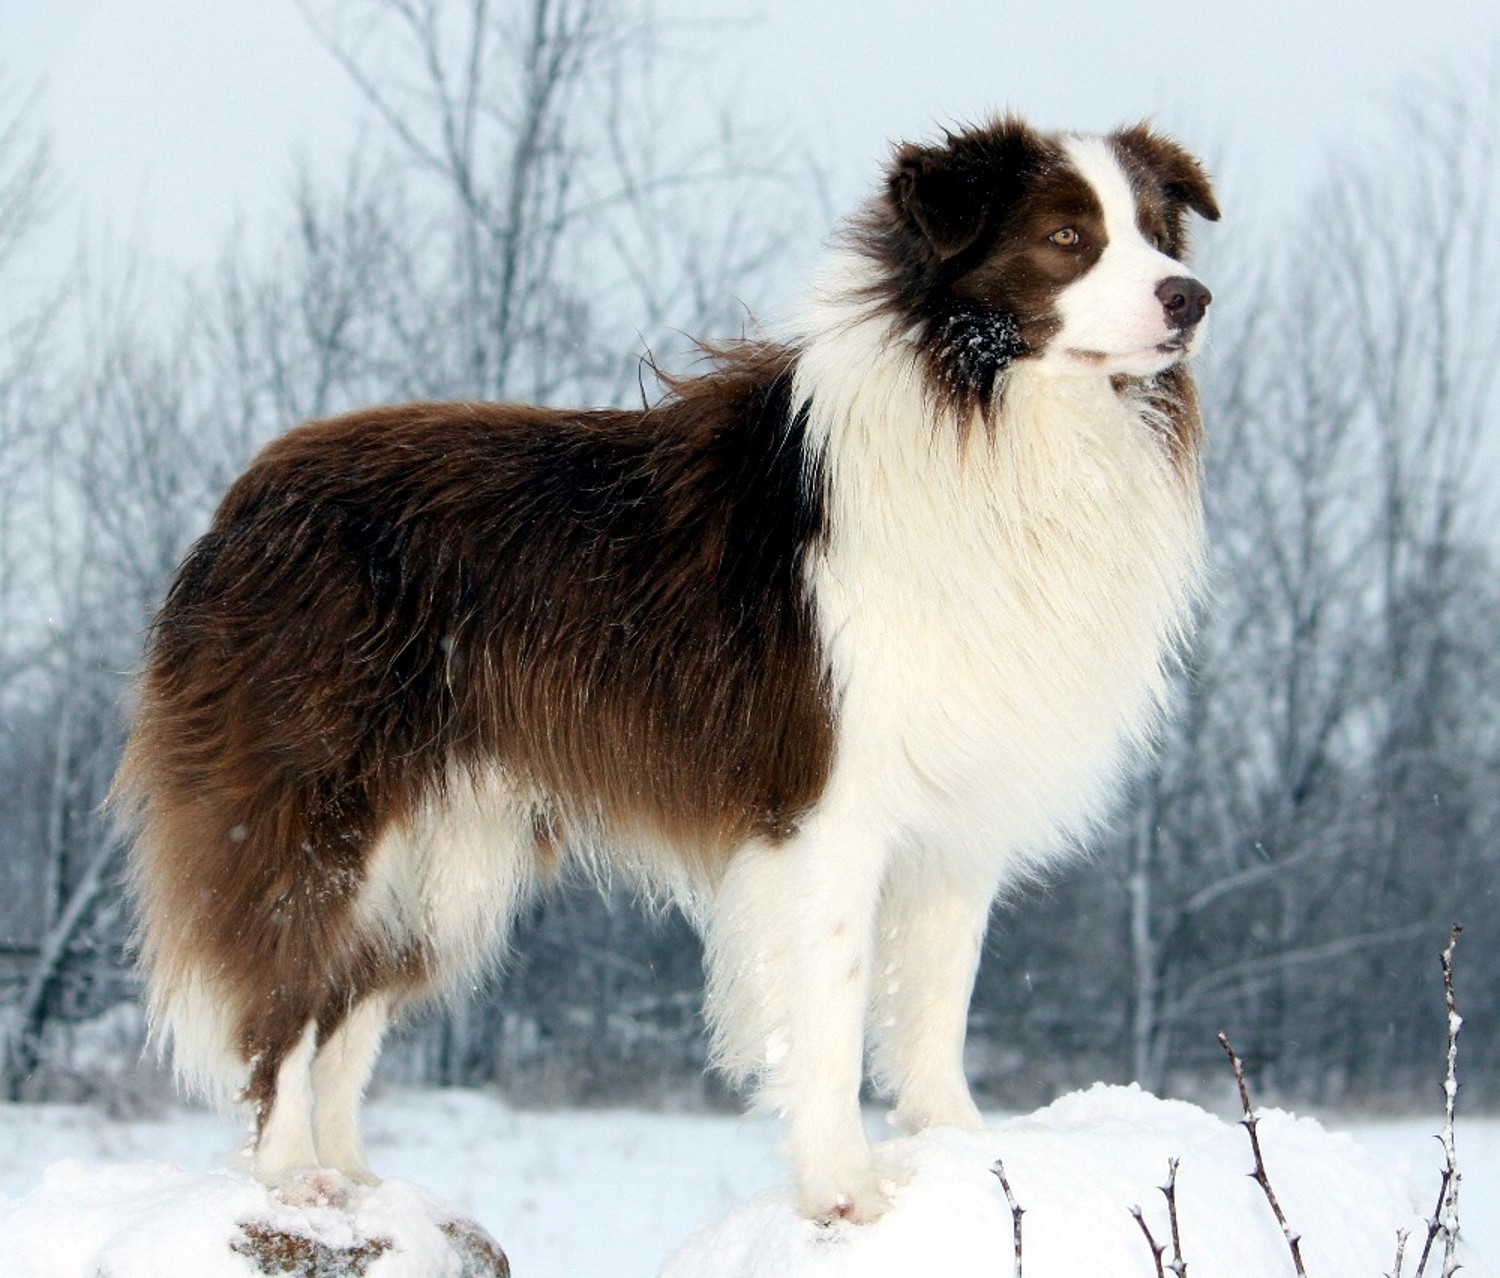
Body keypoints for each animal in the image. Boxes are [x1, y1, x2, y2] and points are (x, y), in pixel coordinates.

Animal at [117, 117, 1218, 1218]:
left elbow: (936, 1002)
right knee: (286, 995)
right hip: (318, 808)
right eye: (1068, 236)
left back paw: (359, 1182)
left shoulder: (958, 809)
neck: (1000, 421)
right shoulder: (824, 804)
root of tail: (246, 497)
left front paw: (962, 1150)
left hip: (445, 862)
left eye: (1158, 233)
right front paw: (845, 1189)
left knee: (346, 1008)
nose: (1191, 298)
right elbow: (830, 1011)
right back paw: (288, 1179)